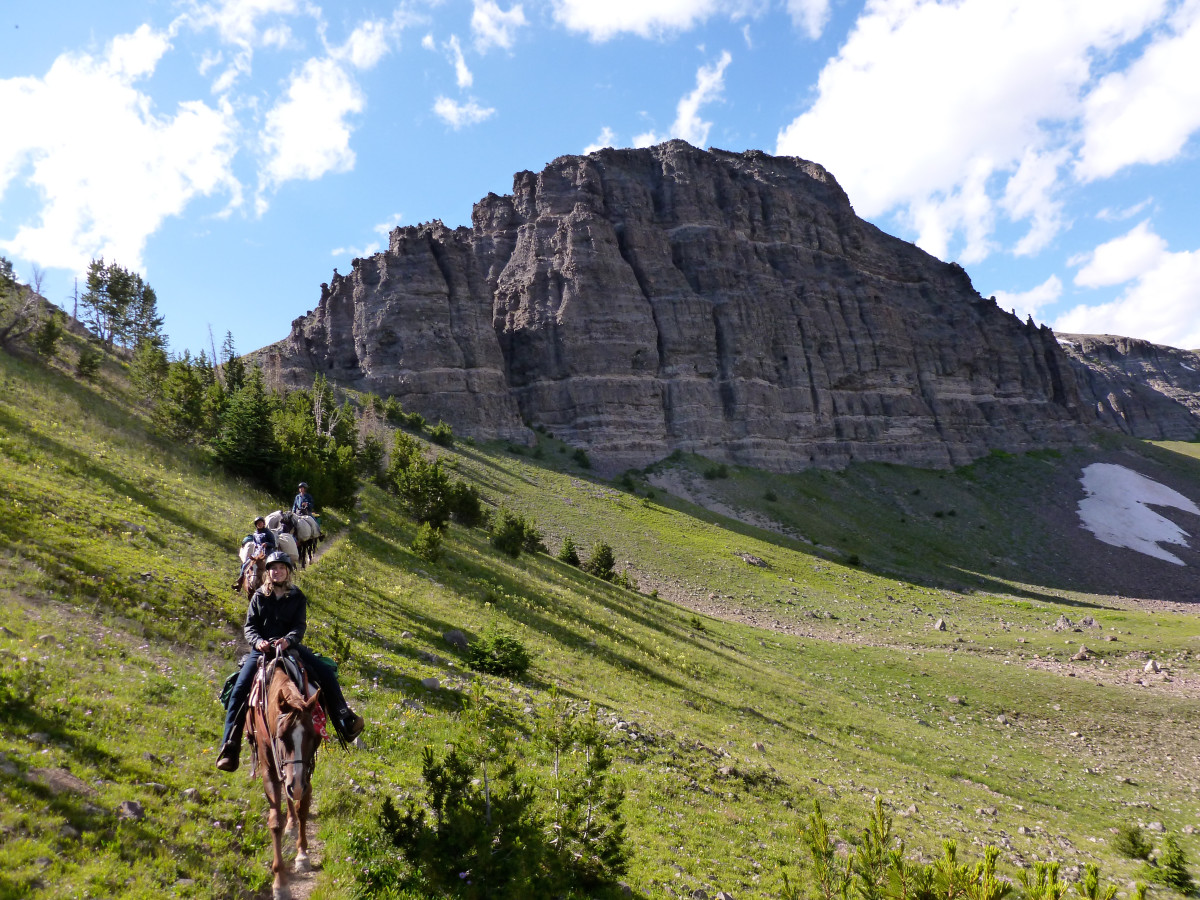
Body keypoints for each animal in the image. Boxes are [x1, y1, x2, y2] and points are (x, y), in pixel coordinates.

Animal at [246, 657, 321, 900]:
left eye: (314, 737)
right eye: (281, 737)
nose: (296, 785)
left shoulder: (306, 773)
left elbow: (302, 808)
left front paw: (302, 855)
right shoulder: (270, 770)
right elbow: (275, 823)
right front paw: (280, 883)